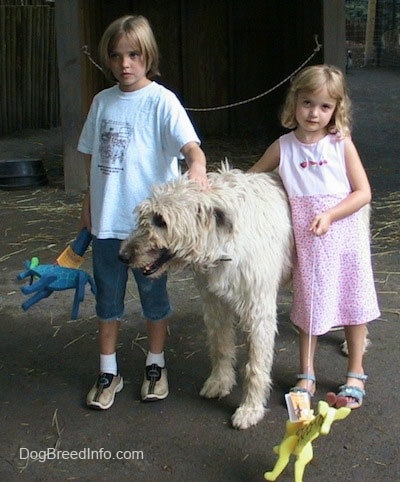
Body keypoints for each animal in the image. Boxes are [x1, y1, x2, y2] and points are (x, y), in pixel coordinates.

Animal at [119, 169, 294, 430]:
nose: (122, 256)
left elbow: (255, 365)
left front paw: (250, 409)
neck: (224, 245)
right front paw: (220, 382)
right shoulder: (214, 303)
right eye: (144, 216)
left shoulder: (259, 310)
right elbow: (220, 346)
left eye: (160, 220)